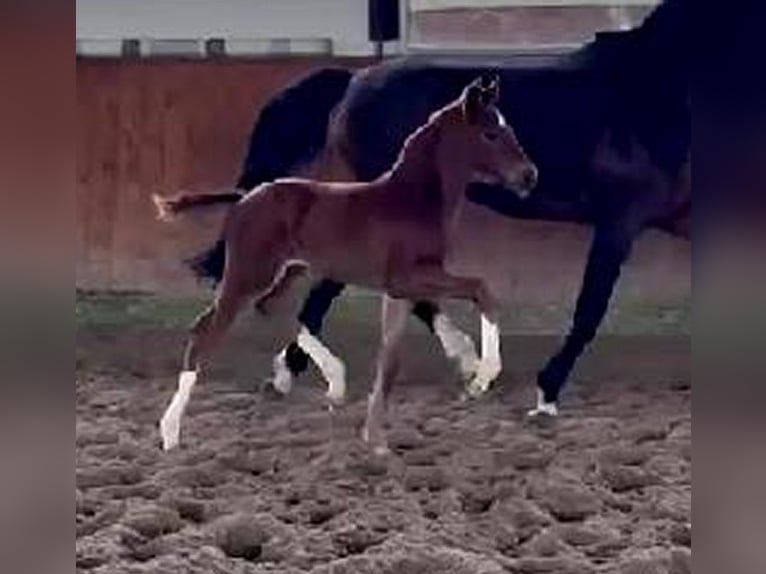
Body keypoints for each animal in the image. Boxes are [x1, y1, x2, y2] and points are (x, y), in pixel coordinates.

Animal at [156, 77, 540, 454]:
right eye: (491, 134)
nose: (529, 176)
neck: (414, 199)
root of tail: (244, 197)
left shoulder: (399, 290)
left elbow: (390, 359)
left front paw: (376, 440)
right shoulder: (407, 278)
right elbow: (481, 289)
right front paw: (481, 377)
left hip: (290, 270)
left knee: (272, 309)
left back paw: (335, 380)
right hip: (250, 273)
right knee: (204, 333)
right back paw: (170, 433)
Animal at [195, 0, 692, 416]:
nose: (527, 176)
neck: (660, 89)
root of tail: (354, 81)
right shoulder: (620, 220)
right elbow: (590, 309)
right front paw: (546, 393)